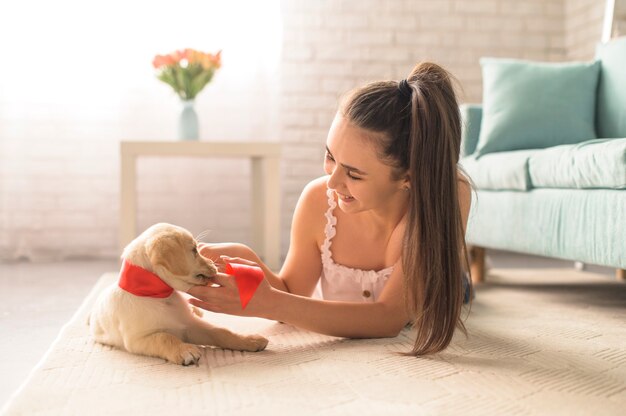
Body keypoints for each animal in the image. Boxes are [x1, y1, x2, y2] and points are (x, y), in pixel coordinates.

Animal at [88, 224, 268, 364]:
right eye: (194, 250)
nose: (214, 264)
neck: (159, 295)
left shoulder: (190, 325)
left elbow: (221, 332)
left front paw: (249, 340)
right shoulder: (138, 339)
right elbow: (165, 337)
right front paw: (184, 350)